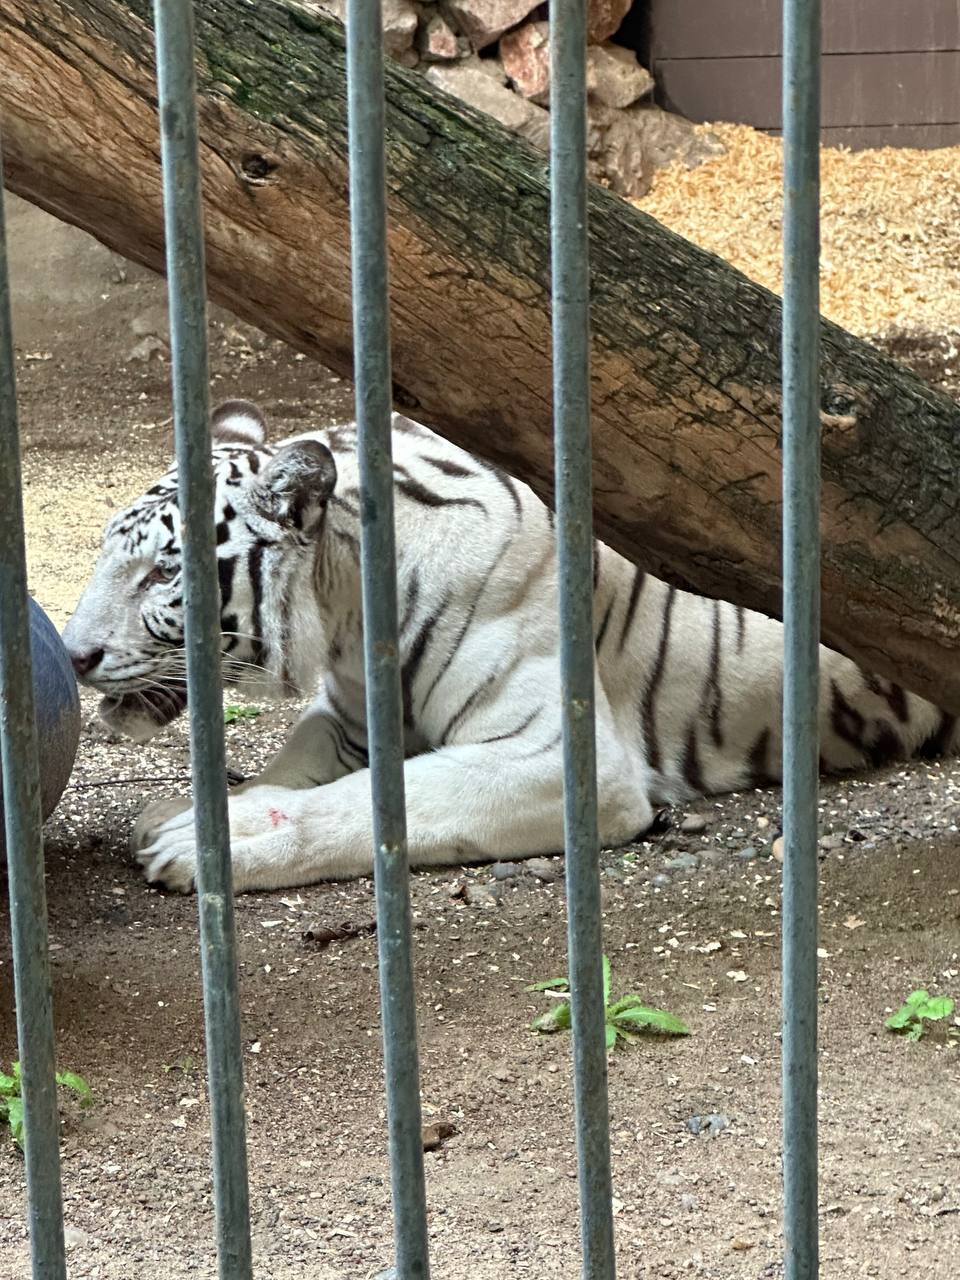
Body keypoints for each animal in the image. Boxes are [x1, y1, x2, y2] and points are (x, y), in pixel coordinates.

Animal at [64, 399, 957, 890]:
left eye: (162, 570)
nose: (74, 658)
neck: (347, 615)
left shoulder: (556, 754)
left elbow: (366, 803)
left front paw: (203, 844)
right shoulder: (348, 718)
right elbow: (293, 767)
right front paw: (191, 809)